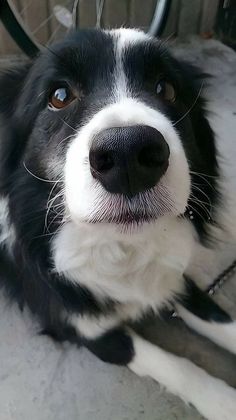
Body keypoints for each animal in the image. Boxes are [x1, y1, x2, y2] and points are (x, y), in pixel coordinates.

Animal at [0, 29, 236, 420]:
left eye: (165, 89)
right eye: (59, 96)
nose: (129, 154)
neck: (120, 247)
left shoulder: (173, 277)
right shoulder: (84, 327)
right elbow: (177, 366)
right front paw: (224, 401)